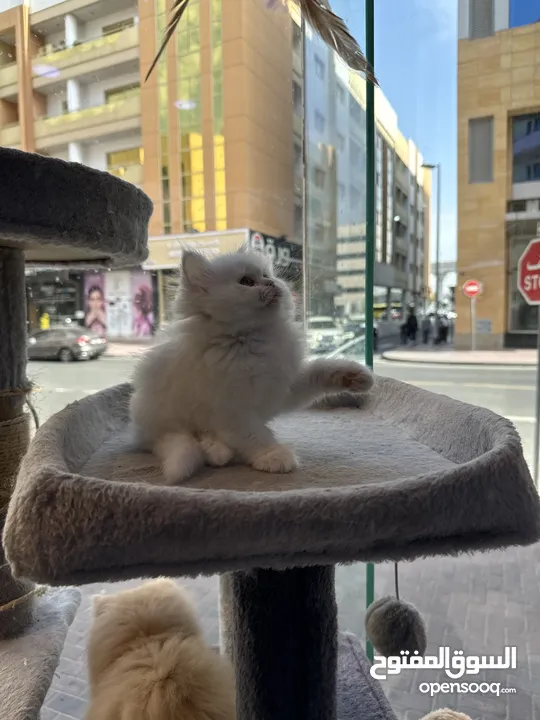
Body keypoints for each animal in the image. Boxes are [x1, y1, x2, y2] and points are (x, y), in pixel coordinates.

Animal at [131, 250, 376, 486]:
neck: (252, 340)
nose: (272, 283)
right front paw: (273, 456)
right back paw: (216, 451)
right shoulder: (232, 410)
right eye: (246, 281)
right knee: (186, 438)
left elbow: (320, 370)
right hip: (166, 414)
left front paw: (356, 376)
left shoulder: (283, 388)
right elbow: (255, 436)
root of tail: (140, 430)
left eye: (267, 275)